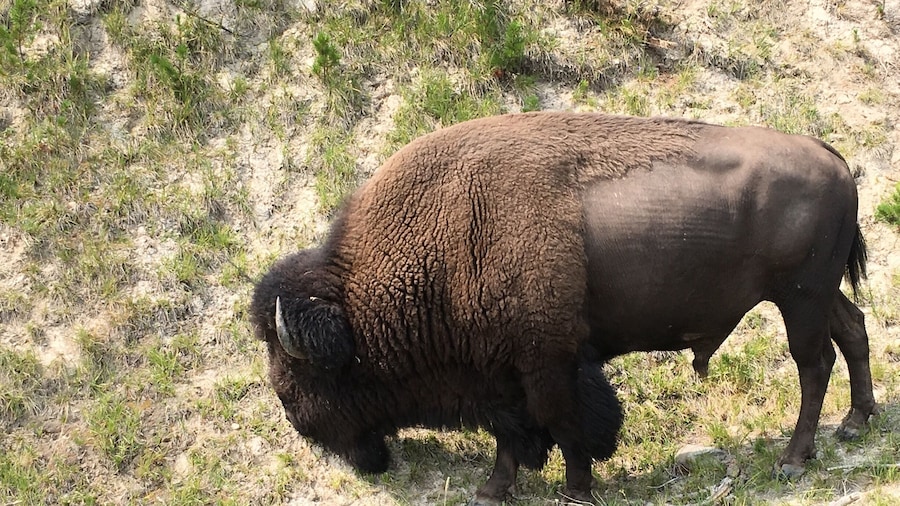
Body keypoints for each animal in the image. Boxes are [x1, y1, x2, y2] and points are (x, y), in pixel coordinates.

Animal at [251, 112, 877, 503]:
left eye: (300, 379)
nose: (296, 420)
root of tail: (833, 156)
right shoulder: (504, 373)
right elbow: (515, 433)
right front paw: (492, 490)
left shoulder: (546, 364)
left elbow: (564, 425)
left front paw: (574, 490)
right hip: (819, 294)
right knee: (853, 330)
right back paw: (856, 422)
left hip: (799, 297)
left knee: (813, 362)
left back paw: (795, 458)